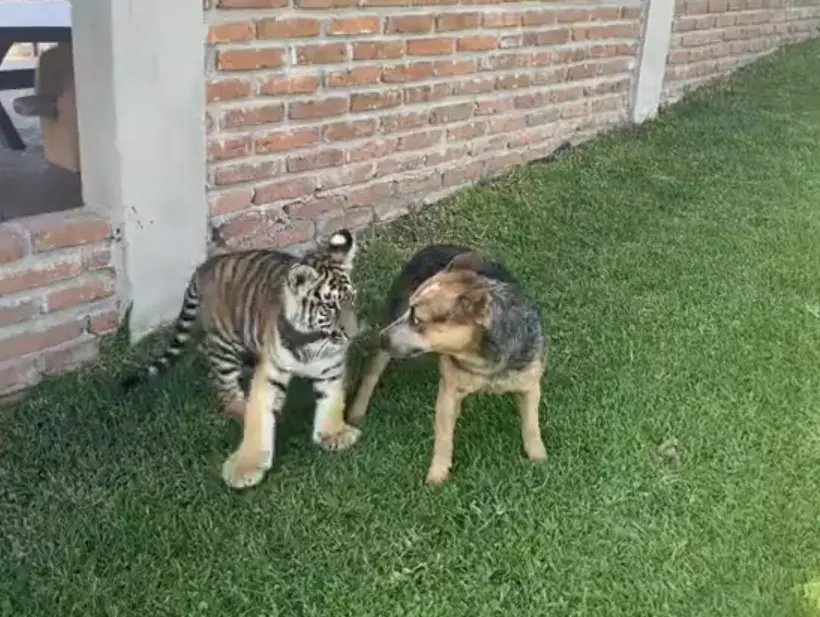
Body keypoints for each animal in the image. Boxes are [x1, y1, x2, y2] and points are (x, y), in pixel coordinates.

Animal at [120, 229, 362, 490]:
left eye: (352, 299)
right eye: (329, 306)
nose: (353, 334)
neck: (310, 341)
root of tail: (205, 266)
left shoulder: (331, 368)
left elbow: (332, 400)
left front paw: (334, 434)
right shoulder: (270, 372)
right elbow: (258, 416)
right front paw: (245, 468)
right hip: (225, 344)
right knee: (224, 384)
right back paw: (241, 407)